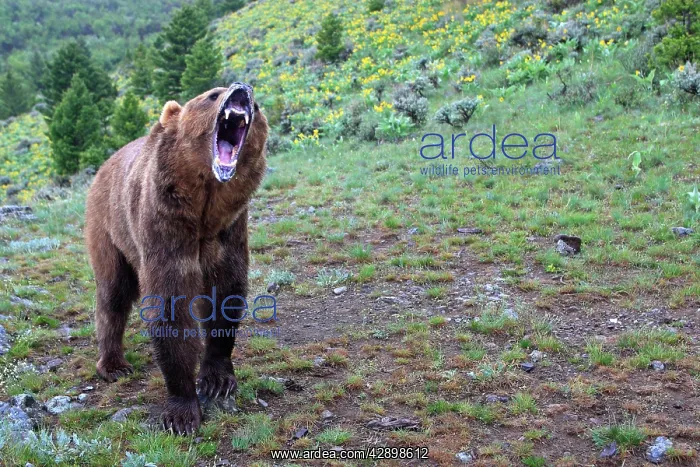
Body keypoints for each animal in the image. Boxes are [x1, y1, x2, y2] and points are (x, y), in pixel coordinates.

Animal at [85, 82, 268, 434]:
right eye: (212, 94)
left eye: (258, 106)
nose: (243, 89)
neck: (204, 209)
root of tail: (105, 163)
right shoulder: (165, 226)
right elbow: (170, 305)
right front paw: (181, 413)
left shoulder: (228, 232)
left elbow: (226, 295)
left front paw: (217, 380)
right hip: (109, 227)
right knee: (113, 294)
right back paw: (114, 365)